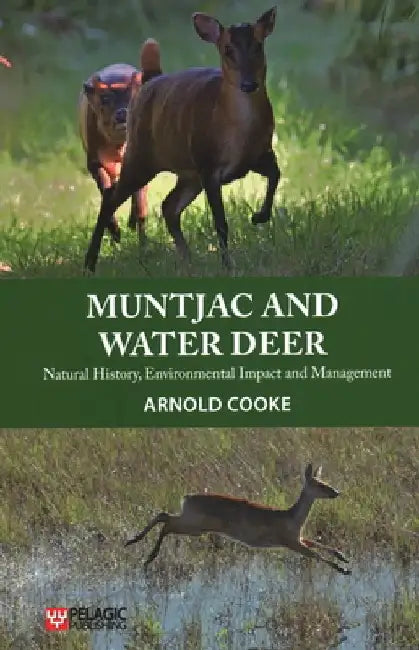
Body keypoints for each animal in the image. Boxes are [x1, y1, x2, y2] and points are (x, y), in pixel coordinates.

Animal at [79, 39, 161, 244]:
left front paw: (142, 240)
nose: (122, 113)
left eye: (134, 97)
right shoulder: (93, 161)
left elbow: (140, 203)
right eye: (104, 99)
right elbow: (106, 192)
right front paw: (115, 232)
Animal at [124, 463, 351, 576]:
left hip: (193, 524)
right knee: (166, 522)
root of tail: (187, 497)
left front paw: (343, 557)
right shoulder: (290, 542)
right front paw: (343, 570)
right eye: (319, 484)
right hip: (195, 526)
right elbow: (315, 554)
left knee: (164, 517)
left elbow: (319, 544)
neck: (293, 518)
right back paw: (146, 554)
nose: (336, 492)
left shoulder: (298, 538)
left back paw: (135, 544)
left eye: (324, 481)